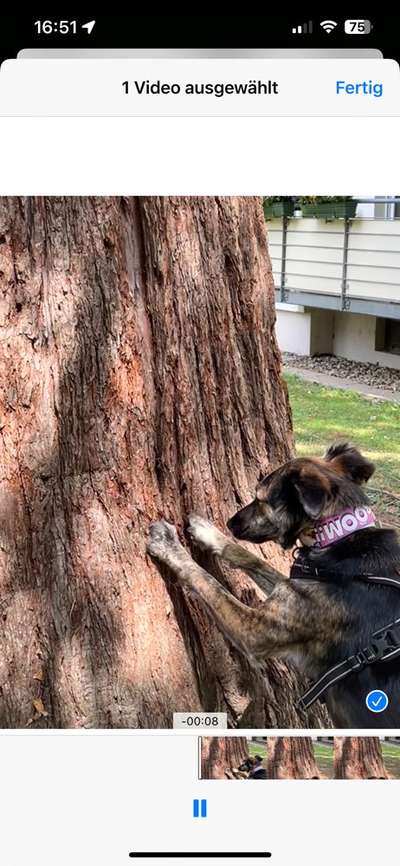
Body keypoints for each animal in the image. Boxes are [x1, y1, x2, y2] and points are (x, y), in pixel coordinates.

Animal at [146, 442, 400, 724]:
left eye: (261, 499)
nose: (229, 523)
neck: (339, 536)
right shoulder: (290, 586)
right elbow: (250, 558)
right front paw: (209, 533)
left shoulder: (254, 630)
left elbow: (210, 583)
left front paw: (169, 545)